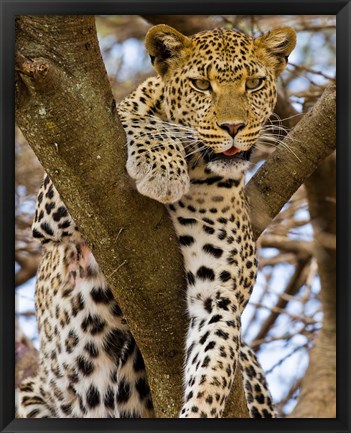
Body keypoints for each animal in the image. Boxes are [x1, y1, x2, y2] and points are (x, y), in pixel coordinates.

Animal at [16, 23, 296, 418]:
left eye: (254, 83)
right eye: (201, 85)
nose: (233, 127)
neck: (198, 166)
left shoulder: (218, 300)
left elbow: (210, 377)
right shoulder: (56, 201)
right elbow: (137, 118)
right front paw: (162, 167)